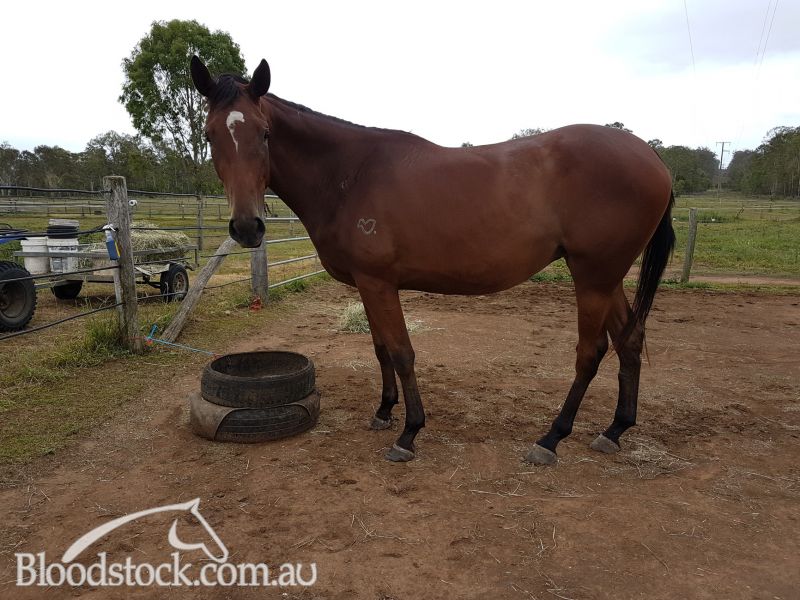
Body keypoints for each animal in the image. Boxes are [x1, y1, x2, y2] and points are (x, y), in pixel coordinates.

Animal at [190, 56, 675, 465]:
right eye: (211, 135)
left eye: (264, 133)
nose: (247, 227)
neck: (349, 173)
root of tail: (650, 156)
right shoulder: (367, 283)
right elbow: (380, 348)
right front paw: (384, 411)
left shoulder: (380, 282)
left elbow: (402, 352)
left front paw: (409, 434)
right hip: (606, 277)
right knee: (630, 340)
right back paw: (614, 430)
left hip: (593, 275)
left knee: (591, 353)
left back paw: (551, 439)